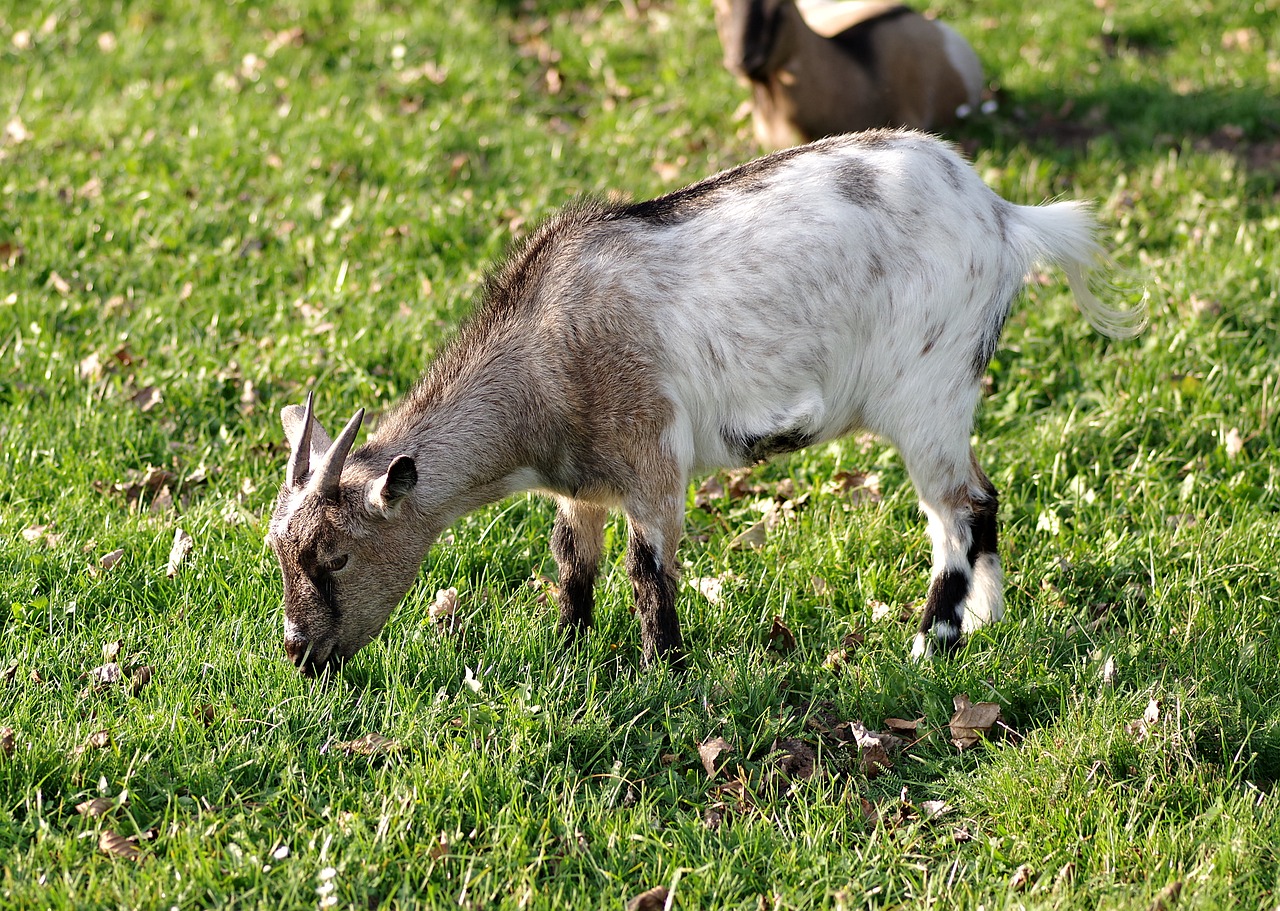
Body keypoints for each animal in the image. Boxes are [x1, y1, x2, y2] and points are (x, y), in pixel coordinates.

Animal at [264, 131, 1146, 680]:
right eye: (280, 552)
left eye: (335, 556)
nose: (300, 653)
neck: (543, 355)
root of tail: (1005, 217)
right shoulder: (581, 485)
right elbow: (572, 564)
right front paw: (568, 651)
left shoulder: (653, 461)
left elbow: (647, 570)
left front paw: (667, 671)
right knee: (982, 498)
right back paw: (984, 617)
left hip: (926, 391)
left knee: (954, 512)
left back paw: (931, 645)